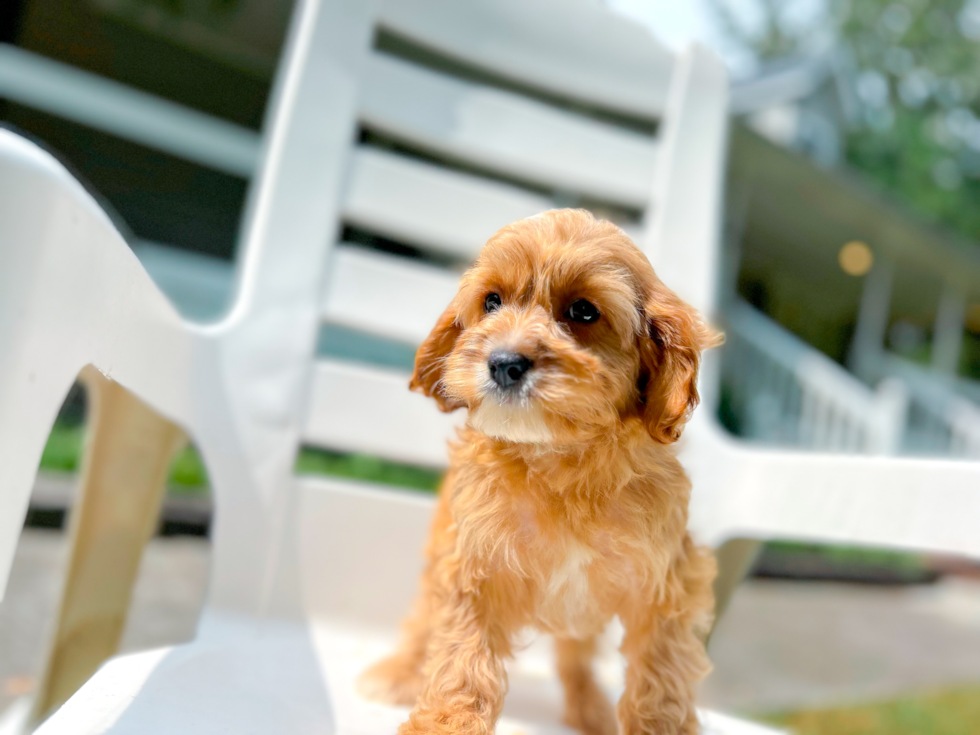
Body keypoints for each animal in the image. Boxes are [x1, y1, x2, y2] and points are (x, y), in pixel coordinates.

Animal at [360, 208, 720, 735]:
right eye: (491, 301)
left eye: (584, 311)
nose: (504, 362)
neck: (560, 459)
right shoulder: (472, 566)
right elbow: (460, 657)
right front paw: (445, 722)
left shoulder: (666, 582)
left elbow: (661, 672)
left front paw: (658, 726)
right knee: (422, 618)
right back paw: (400, 671)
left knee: (575, 654)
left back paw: (588, 706)